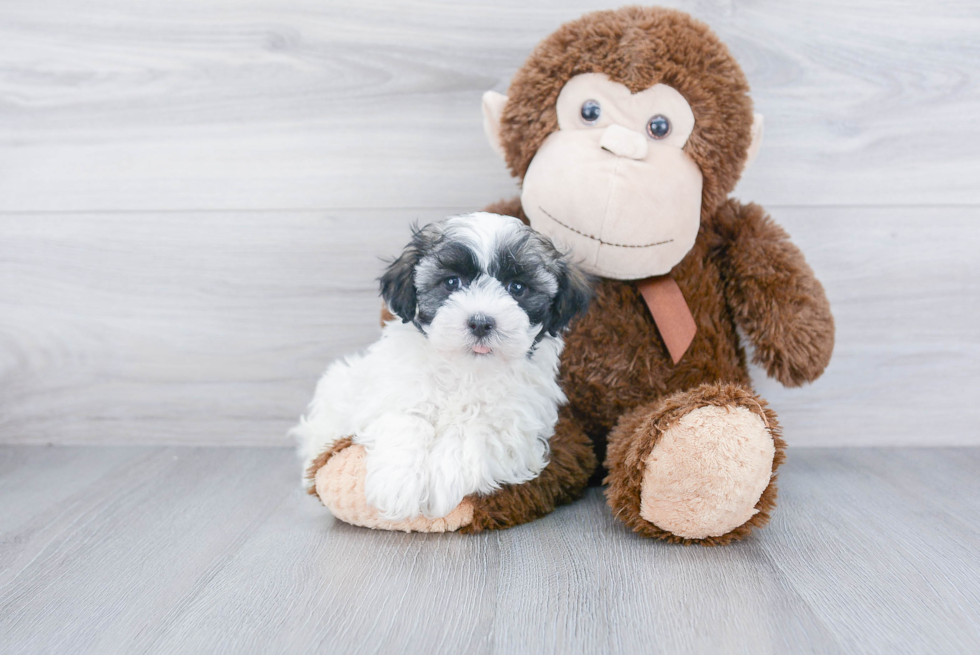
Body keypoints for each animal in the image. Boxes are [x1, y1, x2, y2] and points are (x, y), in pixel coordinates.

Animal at [292, 214, 588, 524]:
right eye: (452, 282)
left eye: (517, 287)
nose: (481, 322)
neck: (466, 369)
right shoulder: (392, 393)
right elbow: (407, 419)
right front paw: (397, 484)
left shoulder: (517, 426)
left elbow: (472, 431)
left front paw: (442, 481)